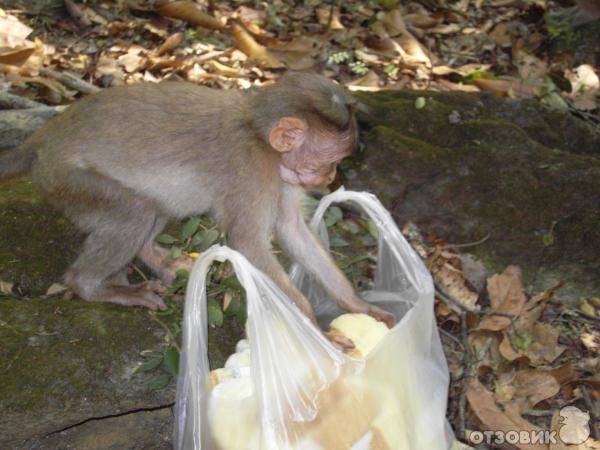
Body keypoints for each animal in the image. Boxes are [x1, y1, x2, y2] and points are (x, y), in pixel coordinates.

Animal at [0, 71, 394, 342]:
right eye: (329, 161)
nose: (332, 176)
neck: (257, 135)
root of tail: (43, 139)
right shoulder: (251, 170)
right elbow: (249, 243)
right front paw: (315, 331)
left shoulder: (279, 176)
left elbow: (292, 230)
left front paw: (359, 305)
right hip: (65, 181)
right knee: (134, 210)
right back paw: (91, 286)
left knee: (156, 205)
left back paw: (154, 259)